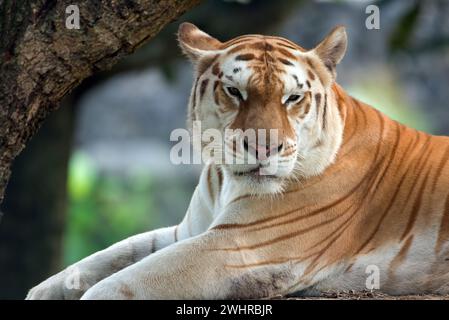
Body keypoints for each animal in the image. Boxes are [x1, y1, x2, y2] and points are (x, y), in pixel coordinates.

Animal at [27, 22, 448, 300]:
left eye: (293, 98)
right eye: (234, 91)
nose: (263, 148)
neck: (225, 180)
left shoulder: (239, 246)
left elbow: (122, 282)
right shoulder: (190, 230)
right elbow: (105, 258)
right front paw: (42, 292)